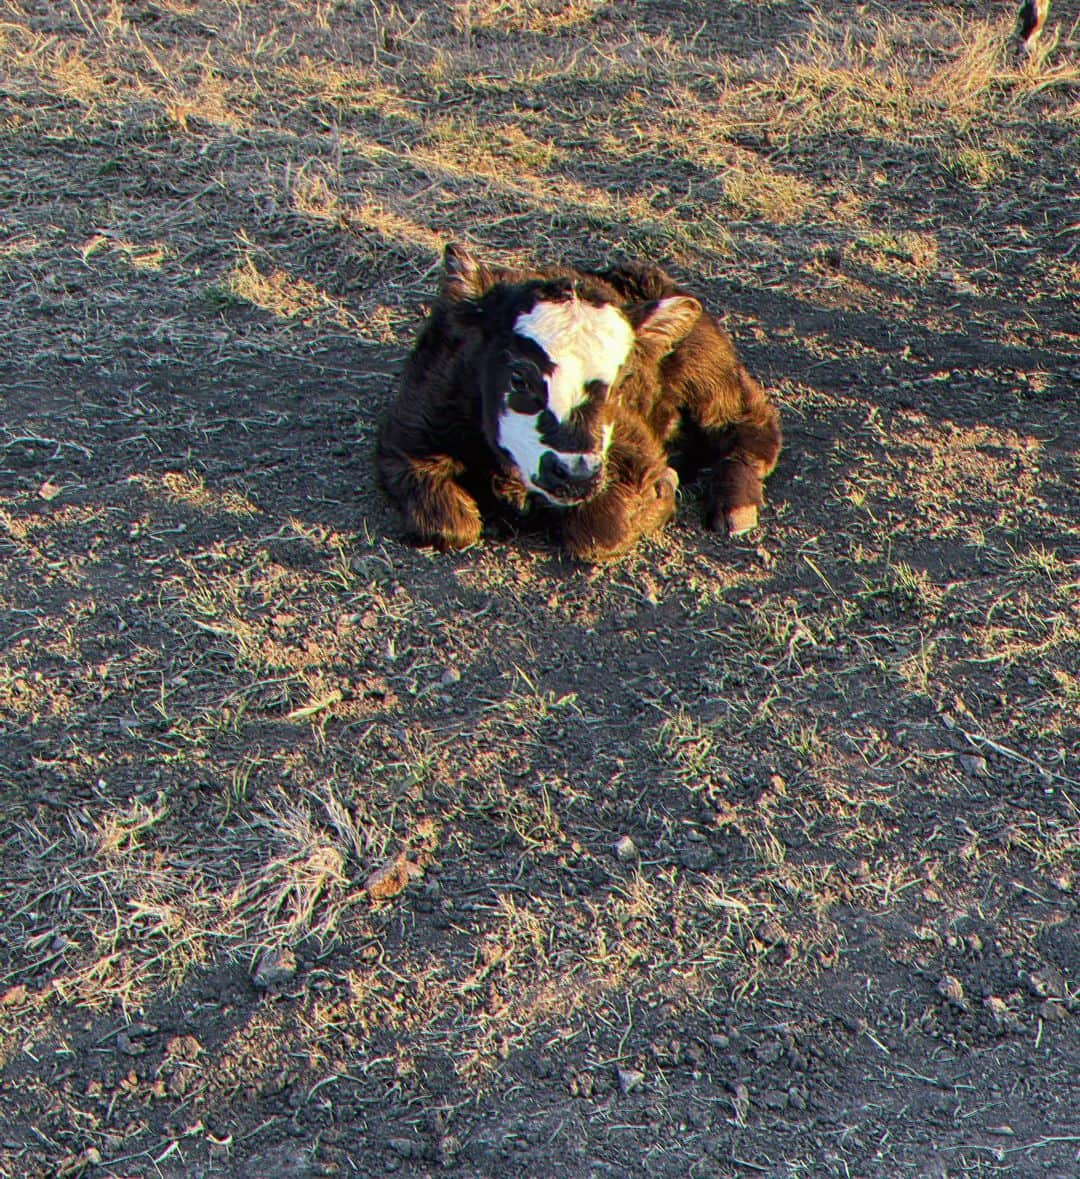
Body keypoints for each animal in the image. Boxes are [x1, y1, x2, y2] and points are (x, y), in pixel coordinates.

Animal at [374, 244, 778, 561]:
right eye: (519, 378)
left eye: (620, 386)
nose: (575, 474)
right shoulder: (408, 436)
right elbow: (450, 525)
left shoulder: (635, 448)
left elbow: (601, 532)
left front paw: (662, 489)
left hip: (707, 368)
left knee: (748, 421)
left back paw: (736, 507)